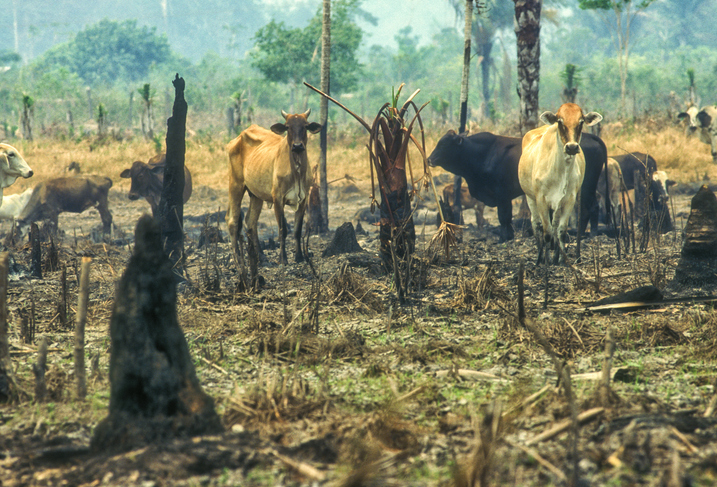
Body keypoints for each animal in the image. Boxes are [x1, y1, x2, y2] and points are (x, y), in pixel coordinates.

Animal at [227, 108, 322, 280]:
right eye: (288, 127)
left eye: (305, 126)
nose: (297, 146)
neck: (297, 170)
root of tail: (237, 138)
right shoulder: (278, 199)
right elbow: (283, 230)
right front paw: (283, 259)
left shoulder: (303, 200)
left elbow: (297, 230)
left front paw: (299, 257)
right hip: (235, 184)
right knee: (233, 222)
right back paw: (238, 260)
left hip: (256, 195)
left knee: (250, 222)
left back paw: (262, 258)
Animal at [428, 131, 608, 243]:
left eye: (444, 145)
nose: (429, 159)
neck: (483, 154)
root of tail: (590, 136)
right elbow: (507, 218)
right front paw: (508, 236)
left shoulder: (502, 194)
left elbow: (503, 217)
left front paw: (503, 238)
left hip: (587, 185)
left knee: (591, 206)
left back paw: (589, 234)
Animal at [516, 102, 600, 264]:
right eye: (560, 121)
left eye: (581, 122)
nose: (572, 147)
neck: (560, 170)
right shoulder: (541, 199)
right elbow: (547, 232)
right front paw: (547, 261)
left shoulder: (568, 199)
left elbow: (560, 230)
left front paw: (561, 259)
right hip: (530, 197)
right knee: (536, 224)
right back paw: (540, 257)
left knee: (554, 225)